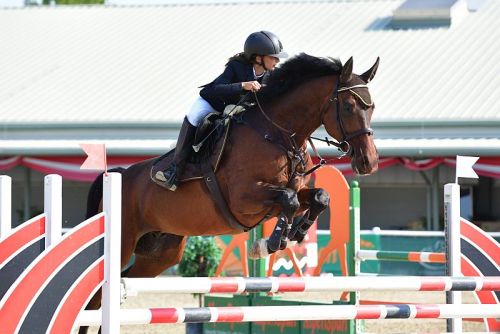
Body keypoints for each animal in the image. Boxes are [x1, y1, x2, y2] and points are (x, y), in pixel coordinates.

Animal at [81, 52, 378, 332]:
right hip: (122, 244)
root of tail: (118, 174)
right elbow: (289, 200)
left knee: (119, 286)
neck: (277, 134)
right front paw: (269, 243)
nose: (369, 162)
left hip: (161, 254)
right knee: (94, 298)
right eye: (349, 106)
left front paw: (296, 232)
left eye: (372, 107)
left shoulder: (288, 192)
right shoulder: (243, 200)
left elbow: (318, 197)